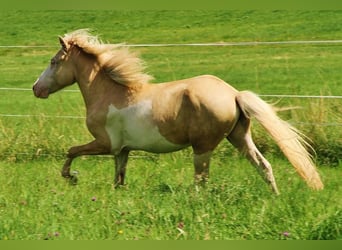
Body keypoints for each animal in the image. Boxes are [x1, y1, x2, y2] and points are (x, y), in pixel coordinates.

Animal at [32, 29, 324, 195]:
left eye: (54, 62)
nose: (36, 89)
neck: (110, 93)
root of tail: (233, 94)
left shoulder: (105, 143)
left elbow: (71, 151)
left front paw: (71, 178)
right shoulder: (122, 150)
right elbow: (119, 178)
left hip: (202, 147)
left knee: (202, 180)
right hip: (240, 138)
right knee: (263, 165)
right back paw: (274, 197)